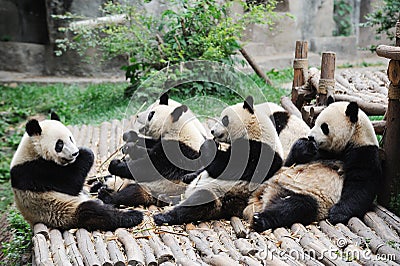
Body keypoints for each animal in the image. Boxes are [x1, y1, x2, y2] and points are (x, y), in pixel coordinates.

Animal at [9, 113, 145, 230]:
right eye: (59, 144)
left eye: (70, 138)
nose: (75, 153)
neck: (32, 151)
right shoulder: (33, 171)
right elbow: (70, 183)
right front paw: (86, 152)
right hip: (62, 211)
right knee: (92, 213)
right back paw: (132, 216)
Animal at [152, 95, 282, 224]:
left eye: (224, 119)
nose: (212, 131)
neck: (256, 131)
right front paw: (188, 176)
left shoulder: (259, 152)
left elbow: (225, 167)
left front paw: (209, 145)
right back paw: (165, 197)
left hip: (220, 195)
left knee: (198, 203)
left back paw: (163, 216)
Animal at [244, 101, 382, 232]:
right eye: (315, 122)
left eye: (324, 127)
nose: (310, 136)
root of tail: (265, 195)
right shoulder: (320, 152)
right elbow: (290, 162)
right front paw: (304, 146)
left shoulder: (365, 153)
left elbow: (360, 186)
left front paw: (337, 213)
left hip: (310, 198)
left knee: (293, 208)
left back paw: (260, 219)